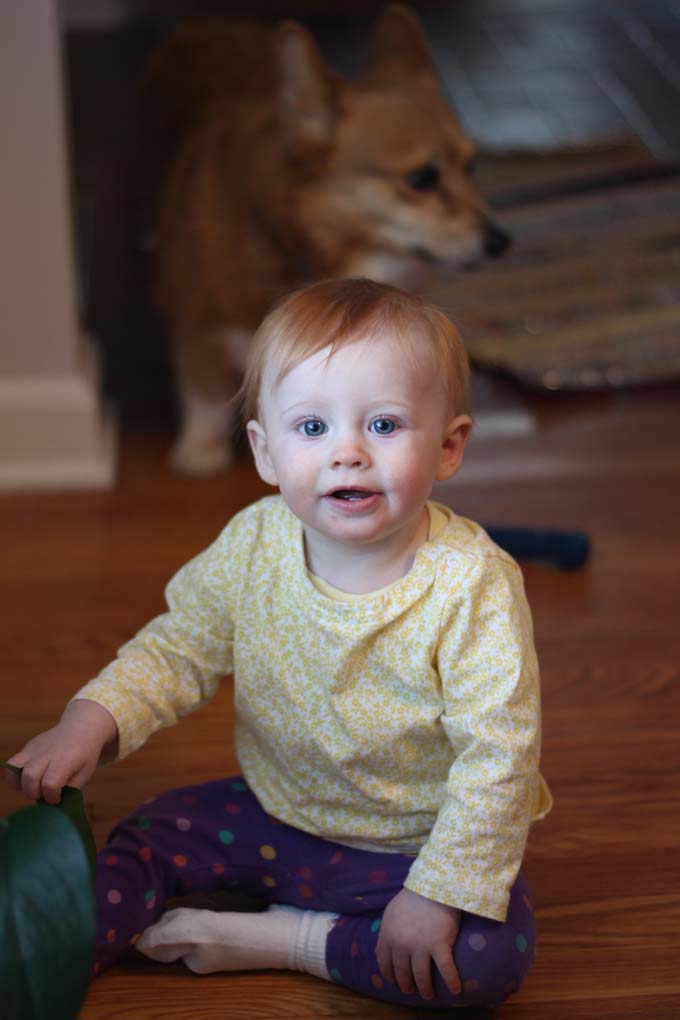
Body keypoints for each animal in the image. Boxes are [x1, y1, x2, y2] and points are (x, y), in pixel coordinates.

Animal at [149, 4, 509, 473]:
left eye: (472, 166)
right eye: (421, 178)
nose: (501, 241)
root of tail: (205, 23)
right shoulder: (197, 320)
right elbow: (203, 386)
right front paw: (199, 450)